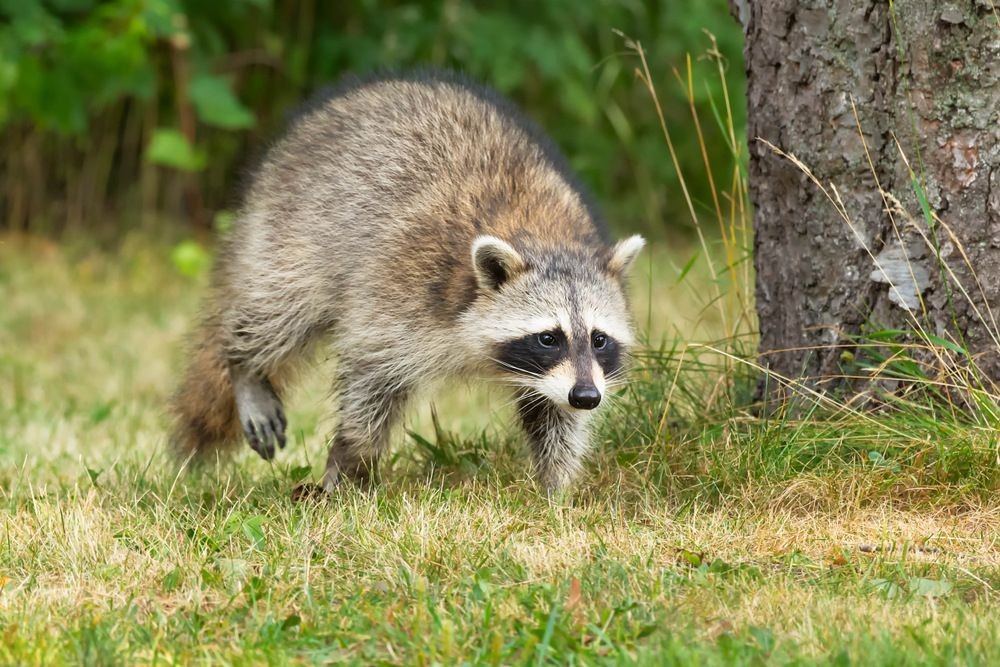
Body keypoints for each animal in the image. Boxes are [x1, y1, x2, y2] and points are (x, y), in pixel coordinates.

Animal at [170, 70, 645, 492]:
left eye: (599, 339)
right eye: (549, 337)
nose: (587, 396)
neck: (544, 239)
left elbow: (554, 416)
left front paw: (554, 486)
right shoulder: (401, 289)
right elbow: (372, 376)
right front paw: (351, 457)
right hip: (296, 232)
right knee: (279, 311)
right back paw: (244, 364)